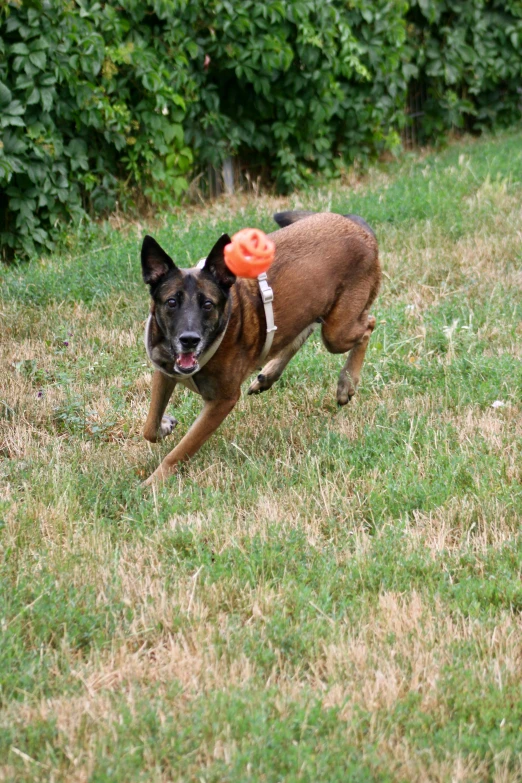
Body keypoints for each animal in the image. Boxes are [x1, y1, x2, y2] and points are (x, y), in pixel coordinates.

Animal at [140, 213, 380, 484]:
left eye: (208, 305)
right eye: (171, 302)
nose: (189, 340)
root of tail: (356, 227)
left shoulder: (222, 401)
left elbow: (182, 449)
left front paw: (153, 483)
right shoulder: (165, 372)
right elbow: (149, 428)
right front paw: (164, 425)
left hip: (337, 333)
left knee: (368, 325)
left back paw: (347, 381)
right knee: (303, 331)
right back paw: (270, 374)